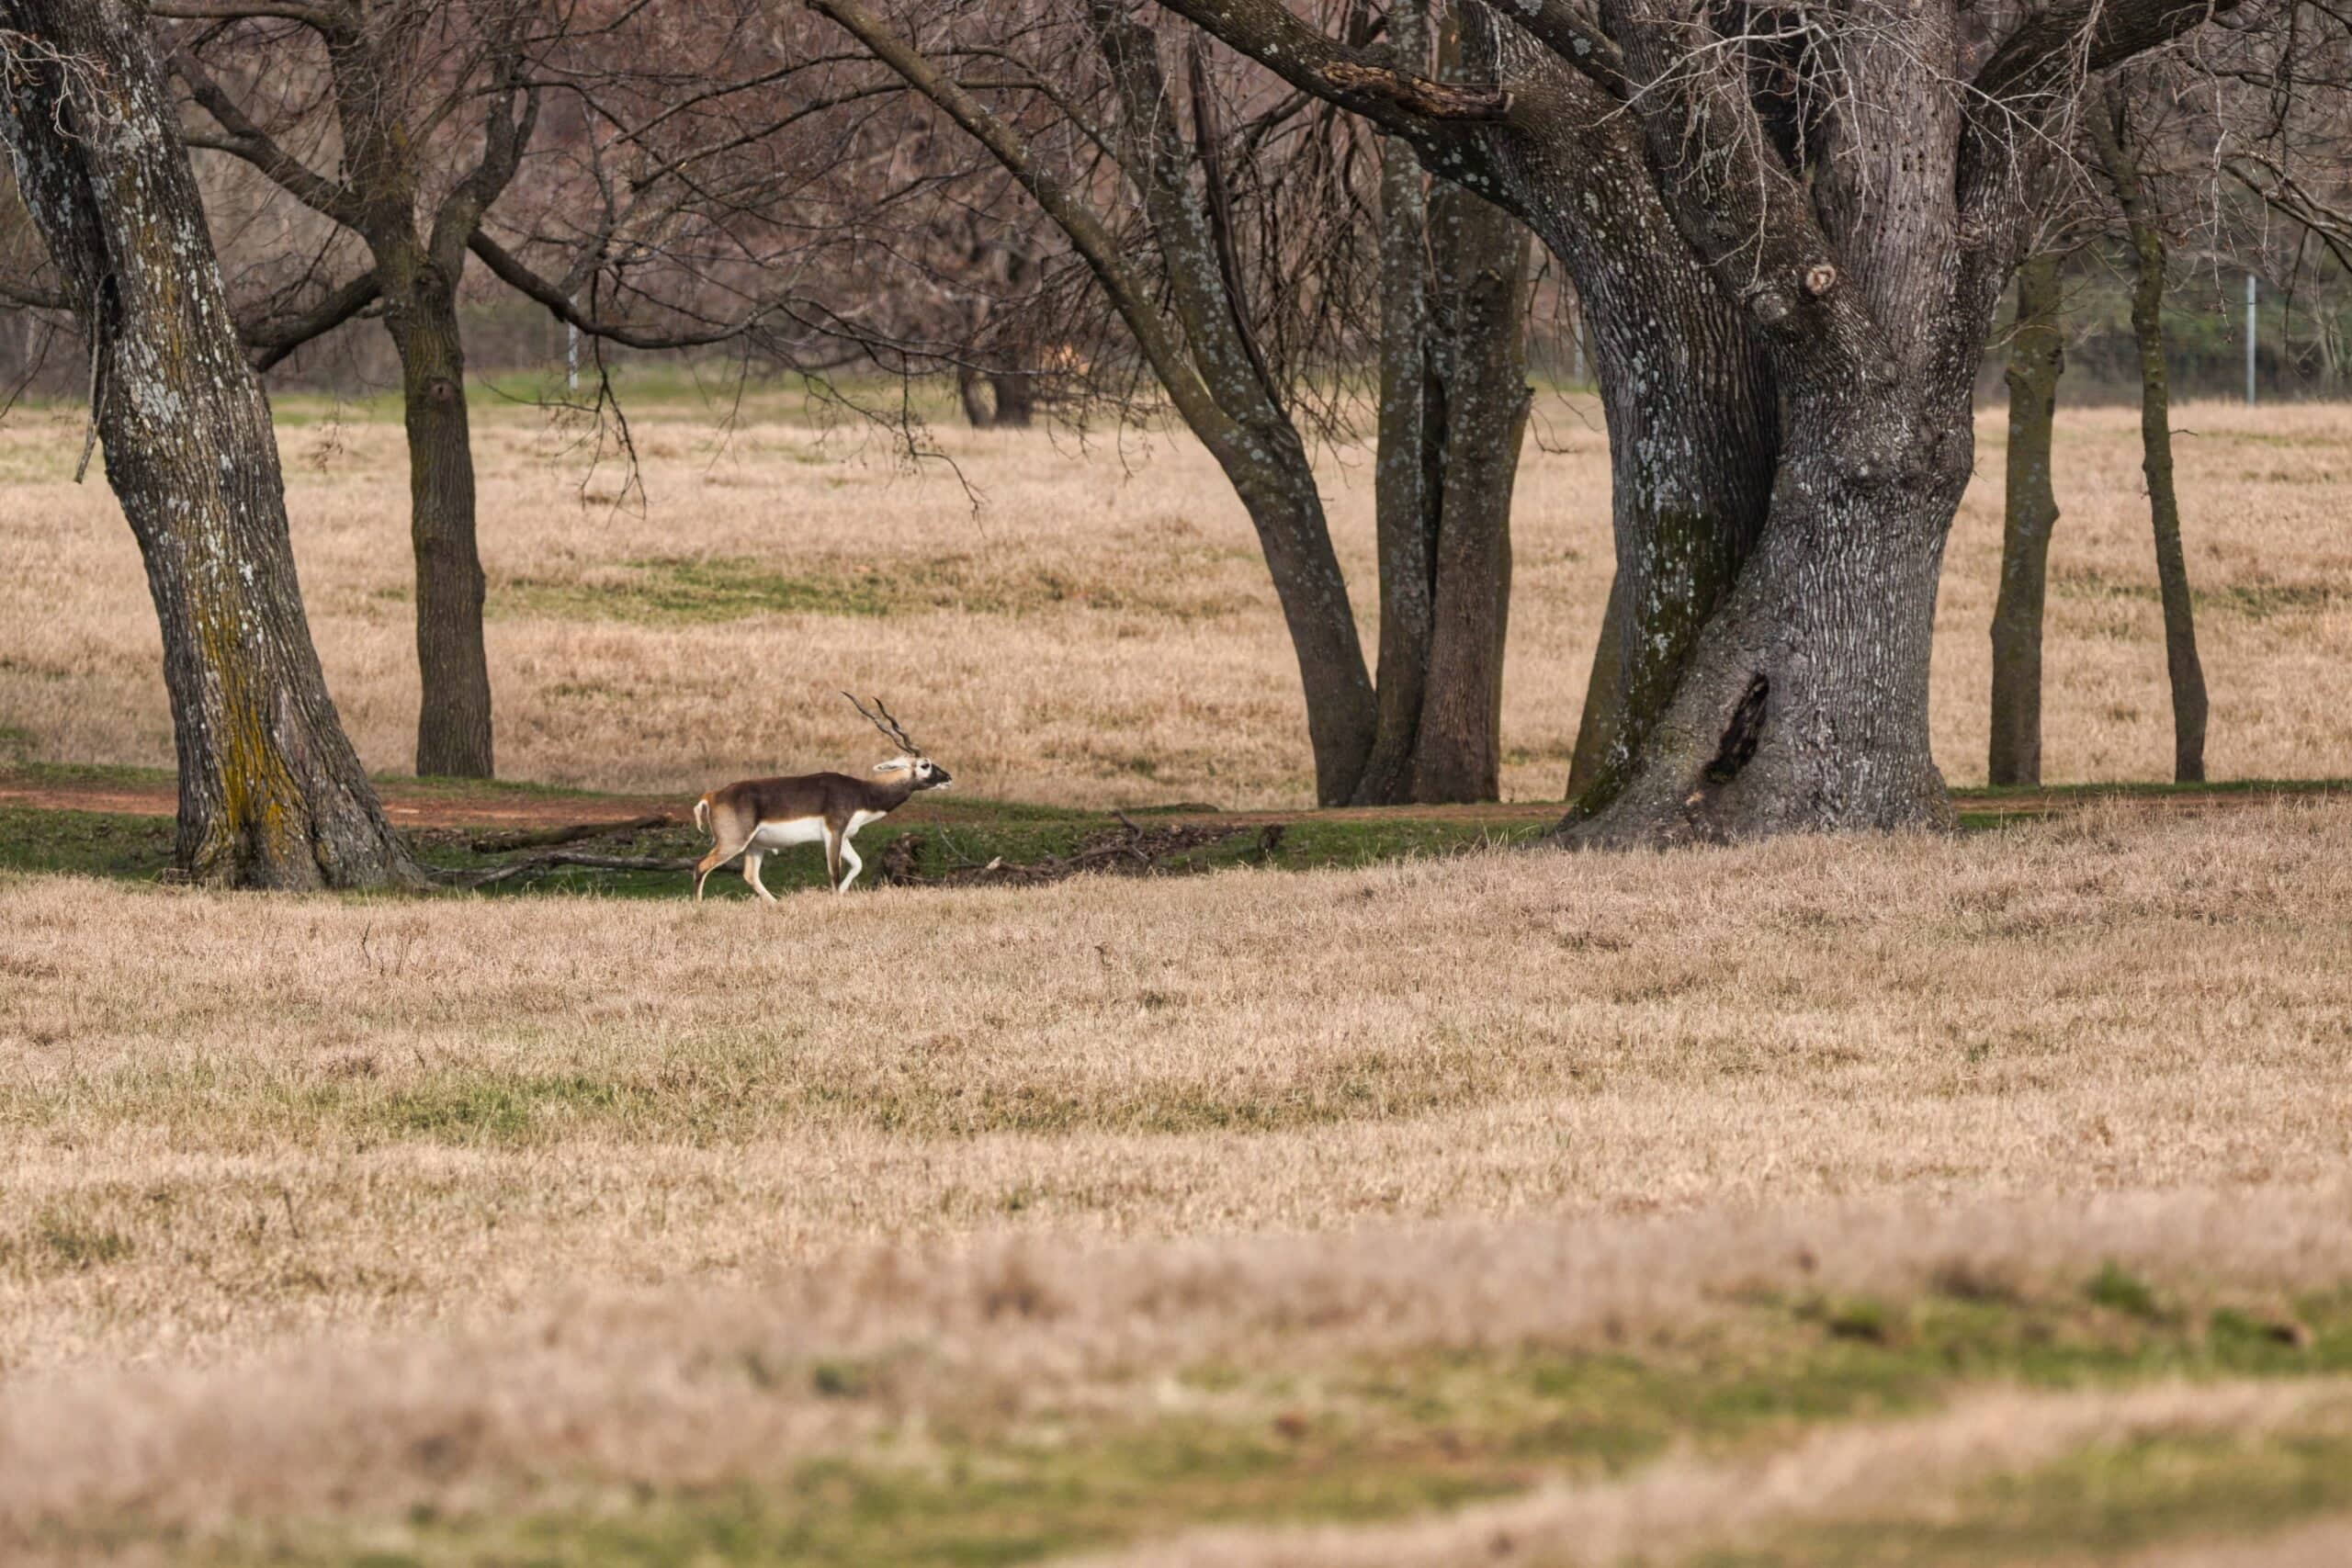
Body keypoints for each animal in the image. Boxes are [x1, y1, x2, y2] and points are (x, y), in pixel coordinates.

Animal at [691, 695, 950, 902]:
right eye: (925, 764)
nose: (948, 777)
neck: (862, 792)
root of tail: (713, 795)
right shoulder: (833, 833)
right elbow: (834, 873)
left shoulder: (845, 836)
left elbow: (857, 864)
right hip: (733, 842)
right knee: (700, 866)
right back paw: (700, 906)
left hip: (755, 845)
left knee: (750, 875)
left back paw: (776, 904)